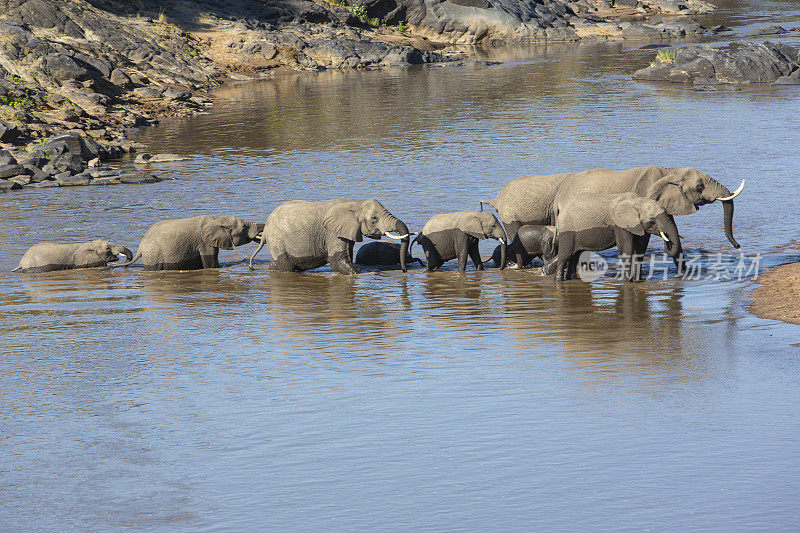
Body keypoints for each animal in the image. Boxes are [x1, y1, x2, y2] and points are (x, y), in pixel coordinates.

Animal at [250, 200, 412, 274]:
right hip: (277, 239)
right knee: (284, 265)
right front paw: (360, 273)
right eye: (374, 219)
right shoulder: (332, 232)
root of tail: (266, 228)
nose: (404, 271)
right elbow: (337, 260)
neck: (355, 203)